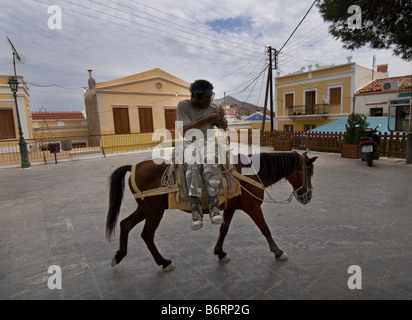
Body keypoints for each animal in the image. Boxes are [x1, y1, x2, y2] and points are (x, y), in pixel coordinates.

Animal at [107, 151, 318, 272]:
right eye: (307, 170)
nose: (308, 196)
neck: (250, 173)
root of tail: (134, 167)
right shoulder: (252, 207)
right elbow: (265, 229)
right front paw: (278, 251)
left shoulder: (231, 208)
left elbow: (223, 230)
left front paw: (220, 252)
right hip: (154, 212)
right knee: (147, 235)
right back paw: (164, 262)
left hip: (144, 209)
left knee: (125, 225)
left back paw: (119, 255)